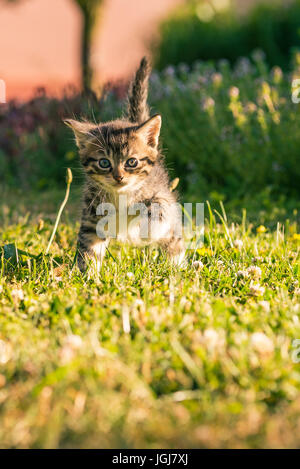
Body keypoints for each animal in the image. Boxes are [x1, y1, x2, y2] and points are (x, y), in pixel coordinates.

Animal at [64, 58, 184, 272]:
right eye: (104, 162)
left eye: (131, 162)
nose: (118, 176)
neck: (120, 196)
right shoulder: (91, 216)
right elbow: (88, 246)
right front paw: (86, 273)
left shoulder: (162, 195)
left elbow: (159, 208)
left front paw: (149, 228)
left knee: (174, 240)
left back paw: (176, 266)